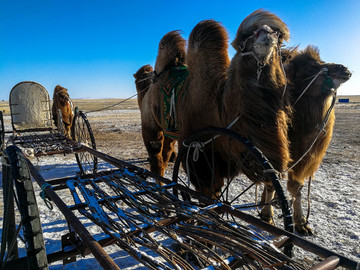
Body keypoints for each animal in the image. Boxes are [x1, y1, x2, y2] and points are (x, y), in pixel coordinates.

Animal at [282, 44, 352, 234]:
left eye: (322, 61)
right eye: (311, 69)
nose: (344, 68)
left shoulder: (302, 156)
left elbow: (297, 186)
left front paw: (301, 223)